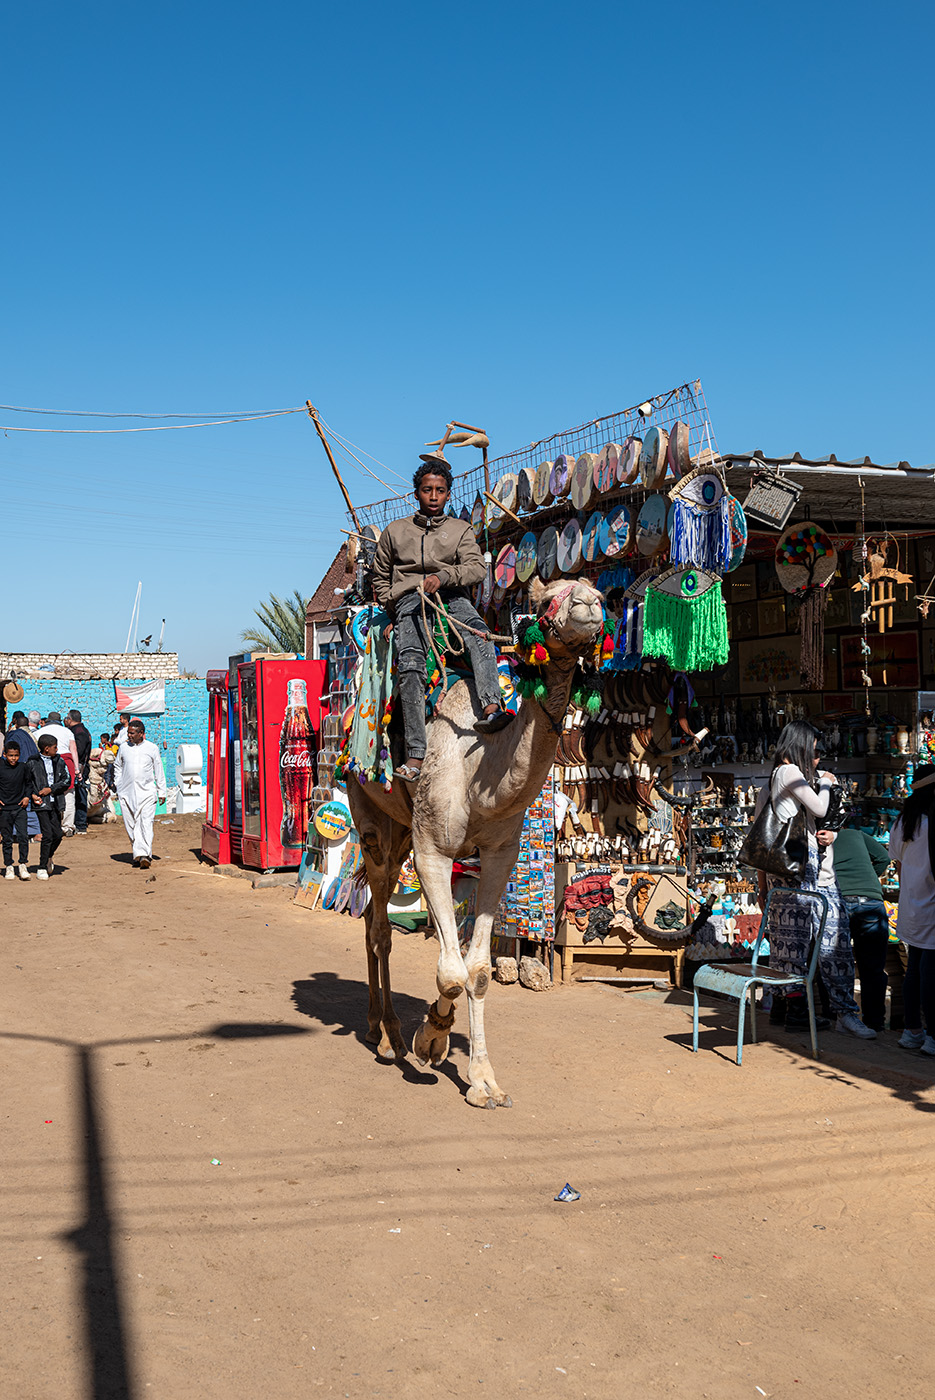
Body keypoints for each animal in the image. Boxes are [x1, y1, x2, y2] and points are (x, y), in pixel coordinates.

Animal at [347, 576, 601, 1103]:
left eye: (595, 590)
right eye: (549, 597)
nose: (591, 604)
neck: (478, 768)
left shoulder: (501, 854)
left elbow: (478, 971)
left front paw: (482, 1079)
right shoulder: (434, 852)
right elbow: (450, 971)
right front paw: (429, 1040)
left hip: (402, 831)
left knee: (371, 922)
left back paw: (382, 1027)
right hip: (371, 818)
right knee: (380, 928)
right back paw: (389, 1035)